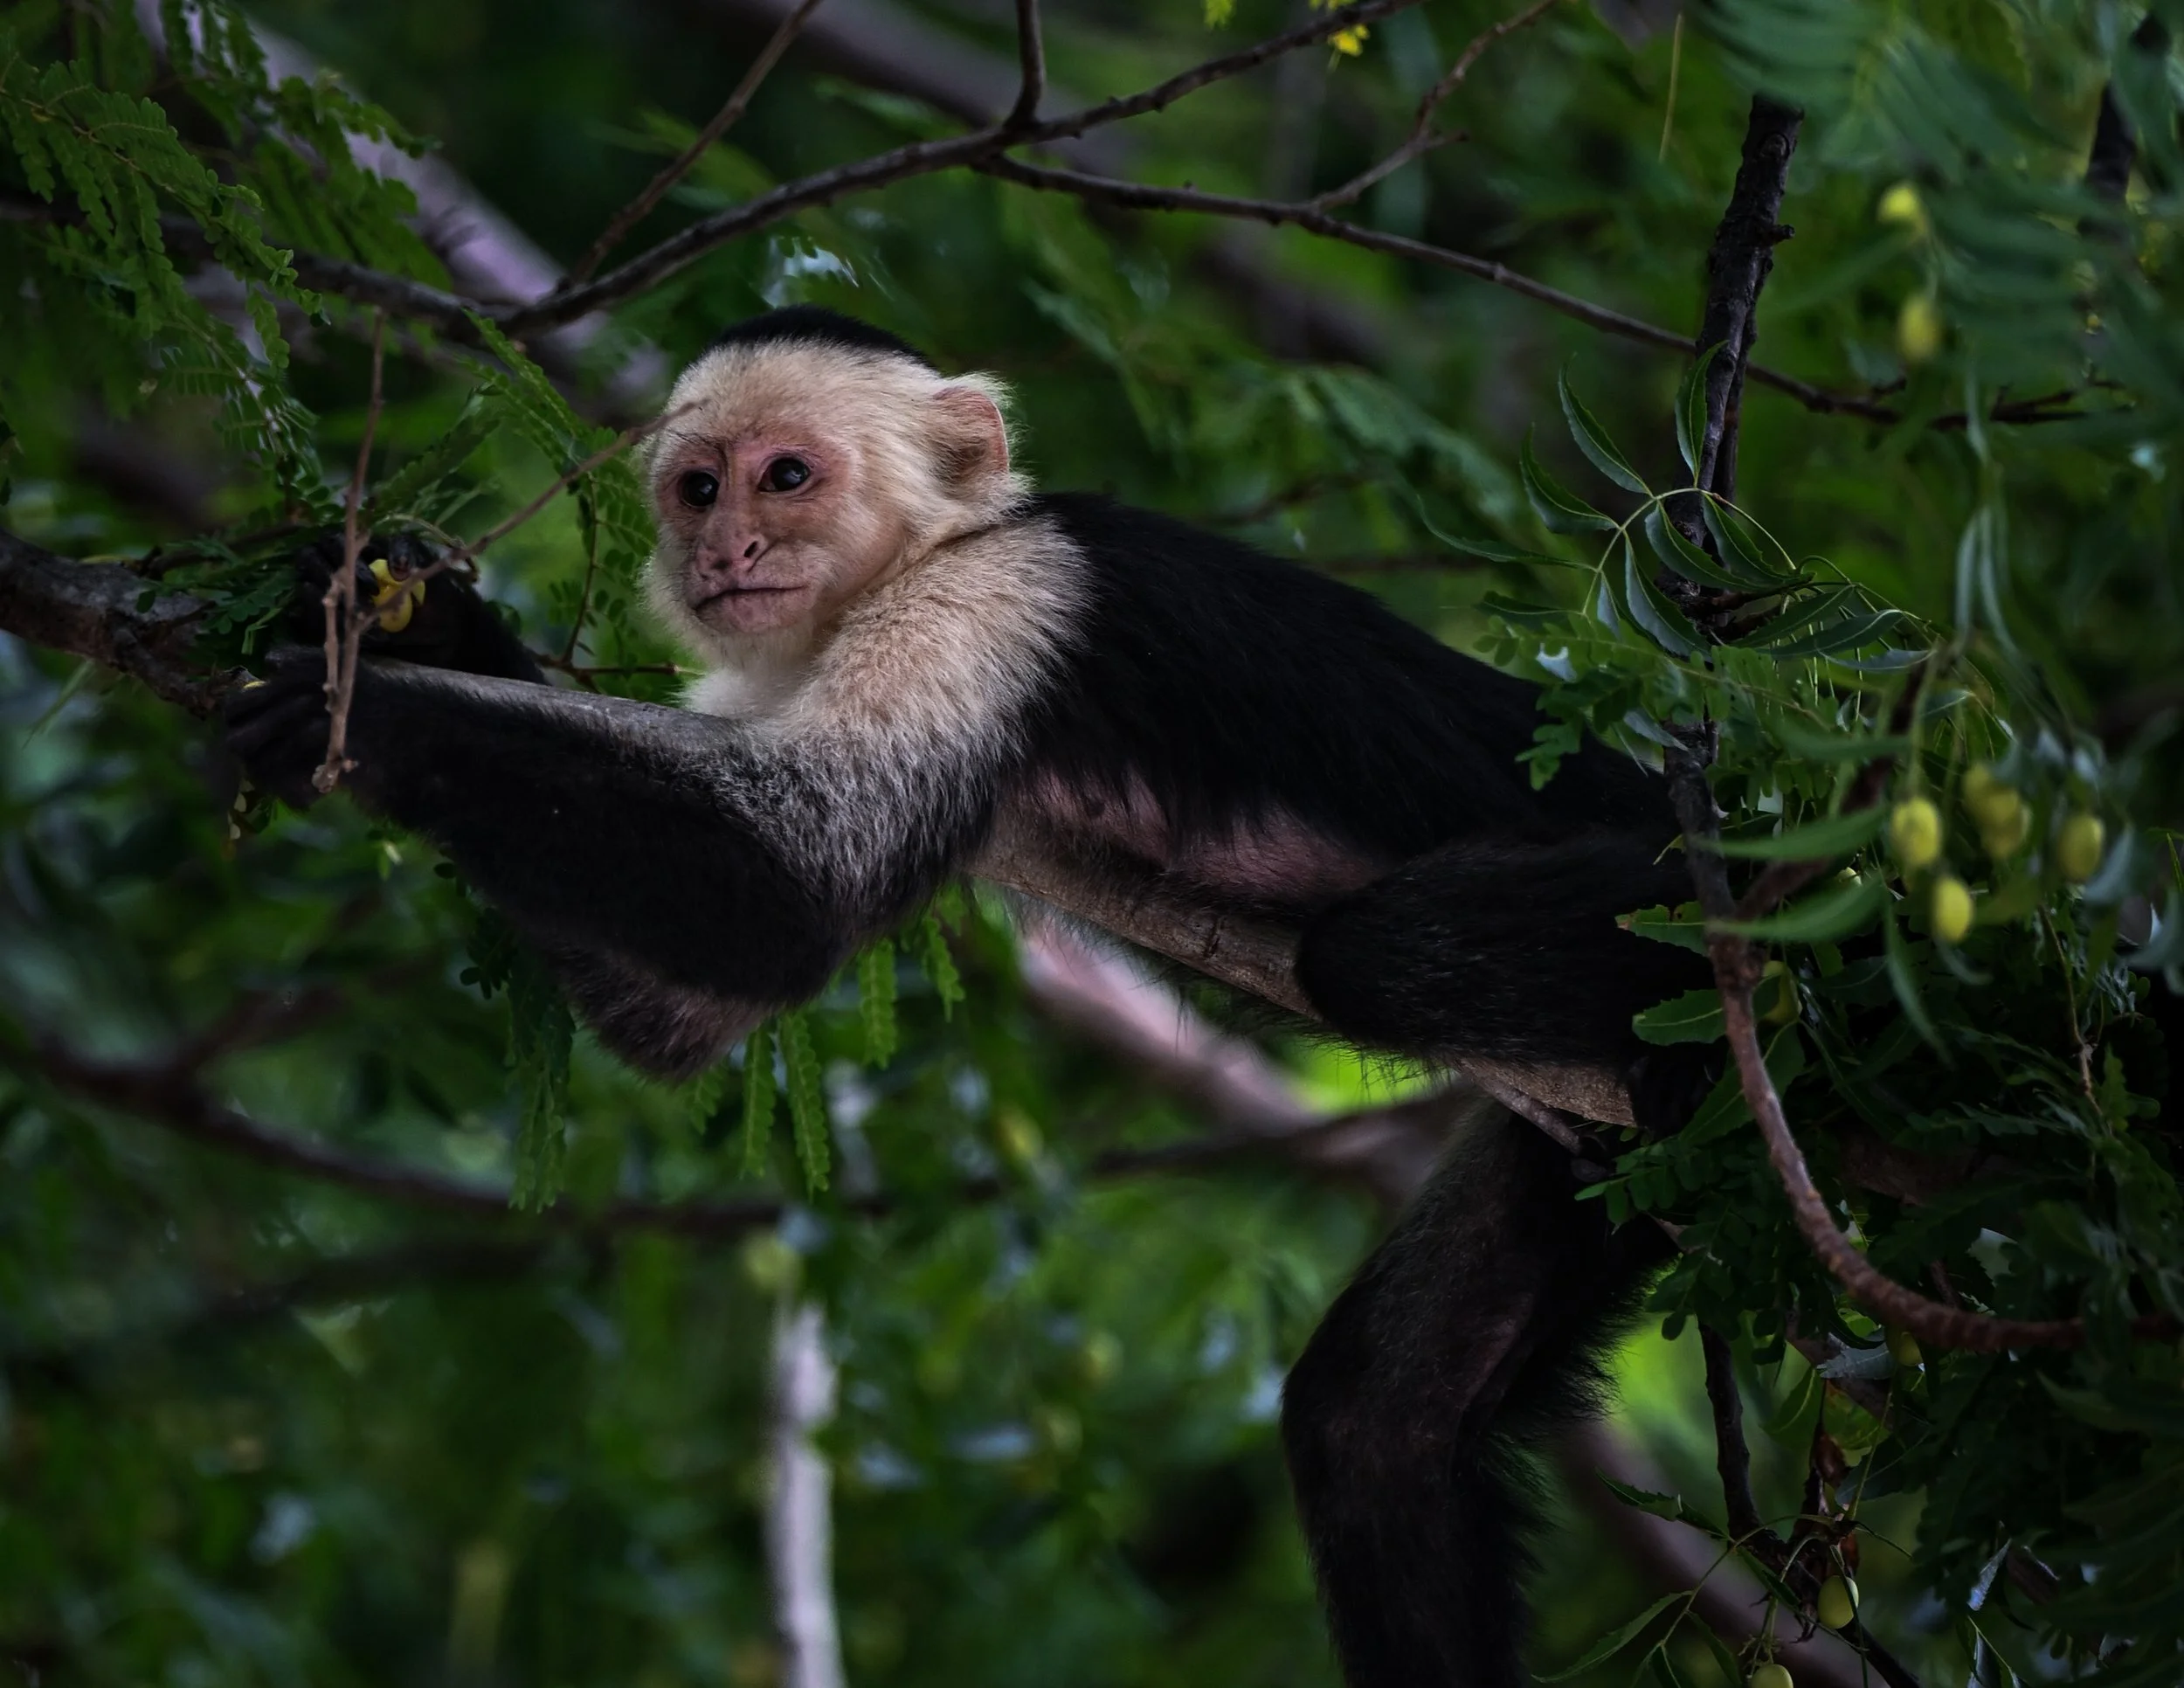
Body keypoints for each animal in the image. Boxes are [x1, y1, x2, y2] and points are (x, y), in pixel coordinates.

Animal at [225, 304, 1709, 1687]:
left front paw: (372, 716)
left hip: (1689, 882)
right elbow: (677, 1013)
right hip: (1596, 1163)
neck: (922, 557)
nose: (724, 553)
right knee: (1376, 1422)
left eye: (786, 477)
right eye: (698, 486)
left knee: (1382, 956)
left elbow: (791, 895)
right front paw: (404, 612)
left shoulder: (1001, 600)